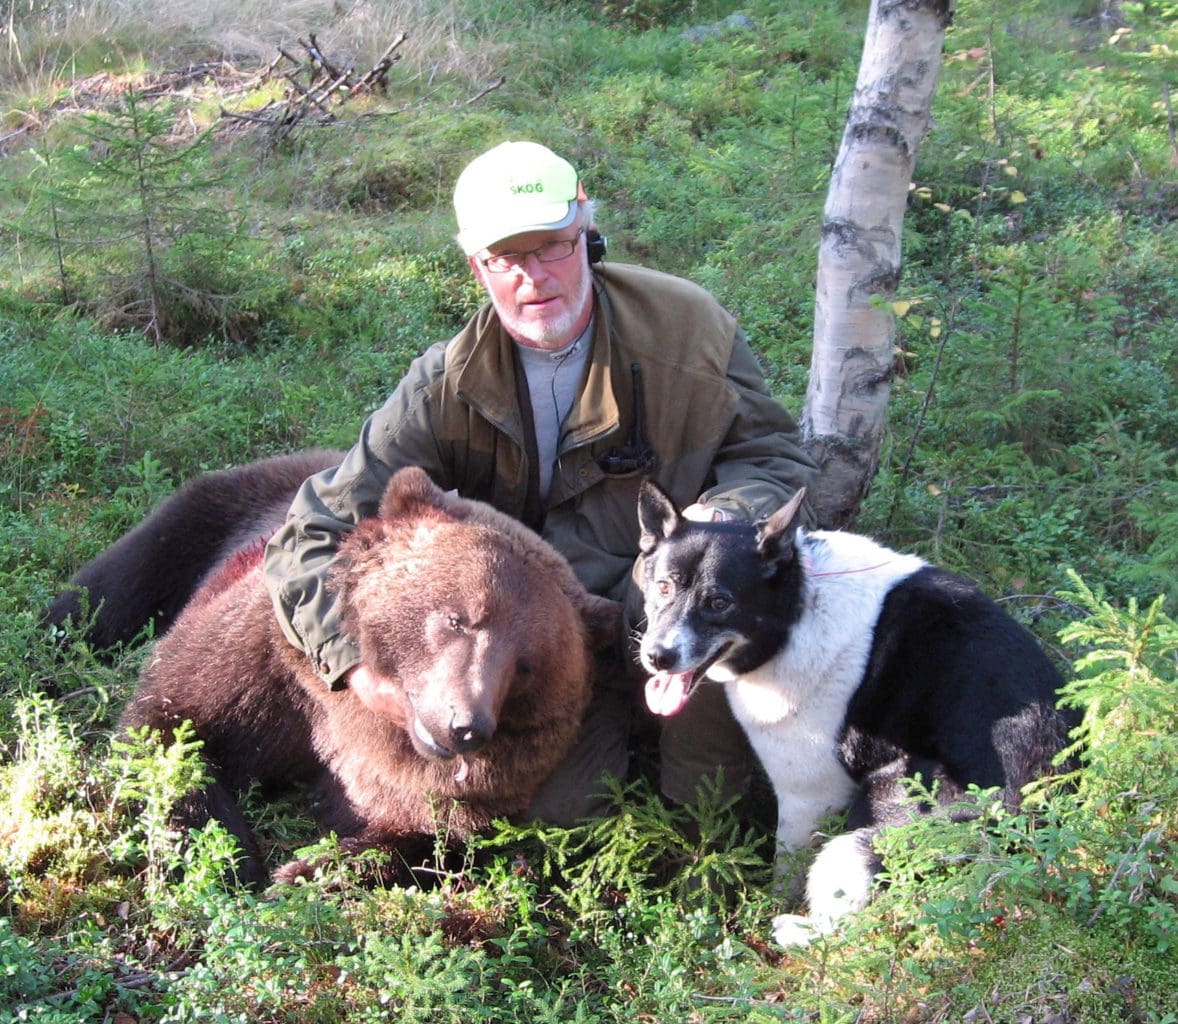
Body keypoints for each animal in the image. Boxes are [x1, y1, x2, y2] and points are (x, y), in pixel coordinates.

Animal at [114, 466, 621, 886]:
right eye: (457, 618)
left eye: (526, 666)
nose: (465, 726)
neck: (363, 719)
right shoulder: (267, 673)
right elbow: (173, 724)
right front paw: (228, 860)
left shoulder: (452, 788)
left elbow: (426, 839)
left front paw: (305, 869)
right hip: (217, 514)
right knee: (128, 573)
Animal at [636, 483, 1079, 947]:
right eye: (663, 587)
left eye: (719, 602)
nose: (657, 657)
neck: (799, 611)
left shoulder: (808, 797)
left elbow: (786, 870)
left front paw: (769, 906)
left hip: (881, 804)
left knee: (842, 921)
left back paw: (793, 928)